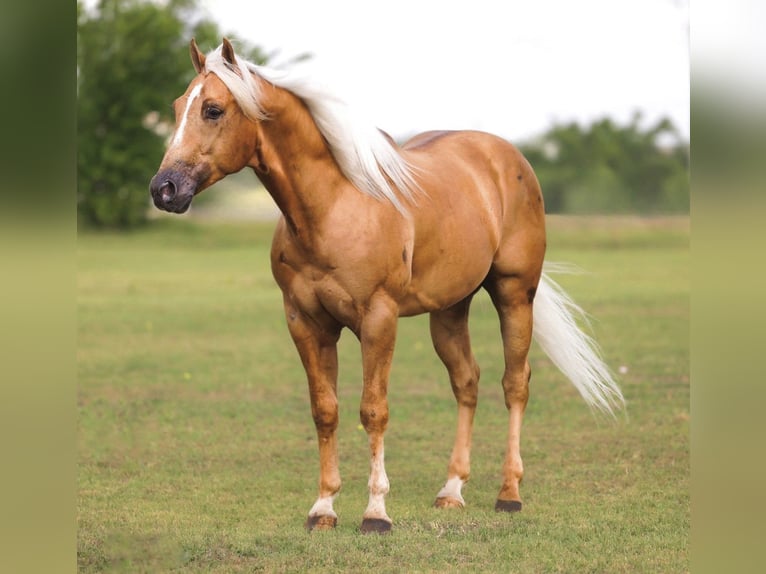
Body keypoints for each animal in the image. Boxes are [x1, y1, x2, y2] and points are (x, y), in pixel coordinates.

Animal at [150, 38, 624, 534]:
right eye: (178, 106)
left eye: (214, 109)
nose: (164, 189)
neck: (336, 205)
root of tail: (508, 159)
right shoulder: (305, 322)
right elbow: (325, 410)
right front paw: (323, 508)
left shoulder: (378, 319)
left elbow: (373, 411)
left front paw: (375, 511)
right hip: (449, 310)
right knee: (467, 382)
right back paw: (451, 490)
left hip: (515, 294)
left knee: (515, 383)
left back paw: (508, 493)